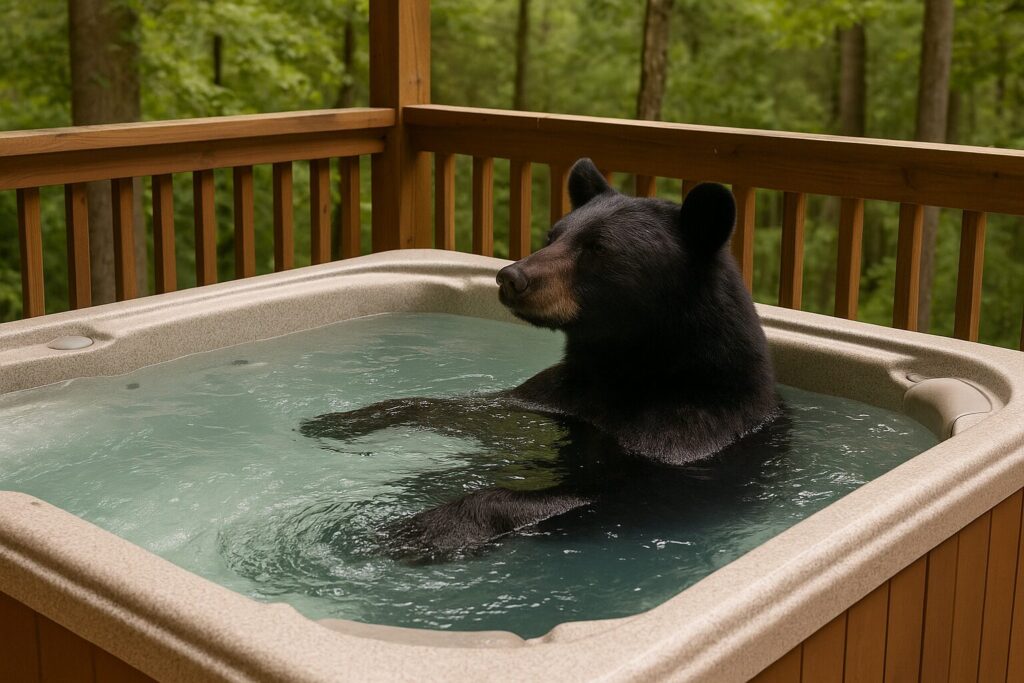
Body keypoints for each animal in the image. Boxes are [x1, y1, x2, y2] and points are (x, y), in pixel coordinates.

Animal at [300, 158, 781, 560]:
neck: (624, 366)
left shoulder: (690, 432)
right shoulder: (560, 394)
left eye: (598, 247)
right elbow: (479, 408)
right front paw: (346, 419)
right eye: (554, 234)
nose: (511, 276)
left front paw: (428, 527)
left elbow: (612, 492)